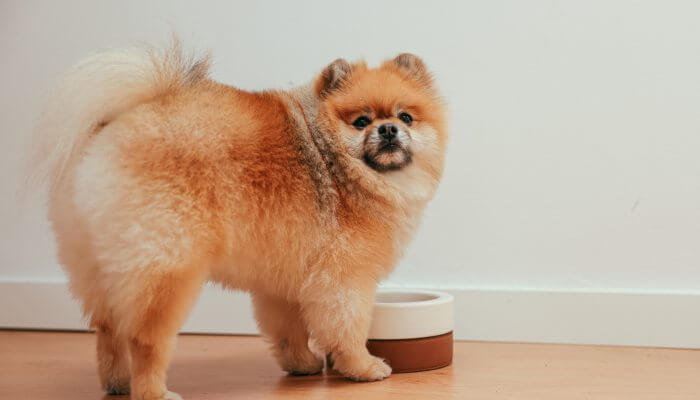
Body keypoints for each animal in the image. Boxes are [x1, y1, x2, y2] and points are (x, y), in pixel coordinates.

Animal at [30, 42, 446, 398]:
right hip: (167, 266)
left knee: (107, 330)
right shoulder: (345, 279)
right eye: (361, 121)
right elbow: (348, 327)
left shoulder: (285, 278)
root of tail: (112, 129)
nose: (389, 128)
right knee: (144, 339)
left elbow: (289, 329)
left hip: (96, 264)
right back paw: (153, 391)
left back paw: (117, 383)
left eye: (406, 117)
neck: (341, 166)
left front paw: (302, 364)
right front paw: (363, 367)